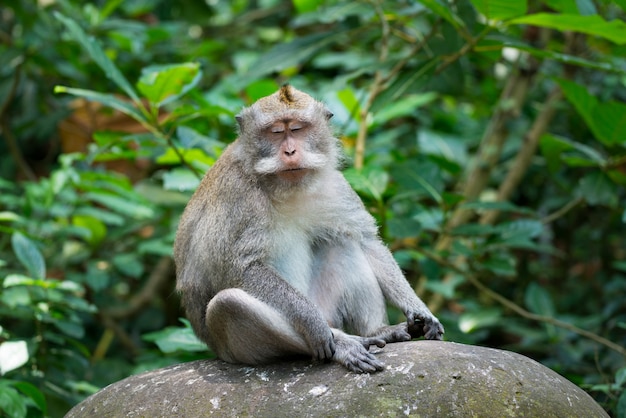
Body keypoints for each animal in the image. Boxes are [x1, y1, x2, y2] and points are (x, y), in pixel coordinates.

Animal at [173, 85, 442, 372]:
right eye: (276, 132)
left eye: (298, 129)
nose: (290, 152)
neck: (283, 187)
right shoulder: (239, 197)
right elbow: (241, 269)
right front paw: (313, 324)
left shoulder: (335, 184)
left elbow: (367, 240)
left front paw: (418, 308)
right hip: (235, 349)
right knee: (228, 305)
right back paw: (344, 344)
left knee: (343, 242)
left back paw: (377, 331)